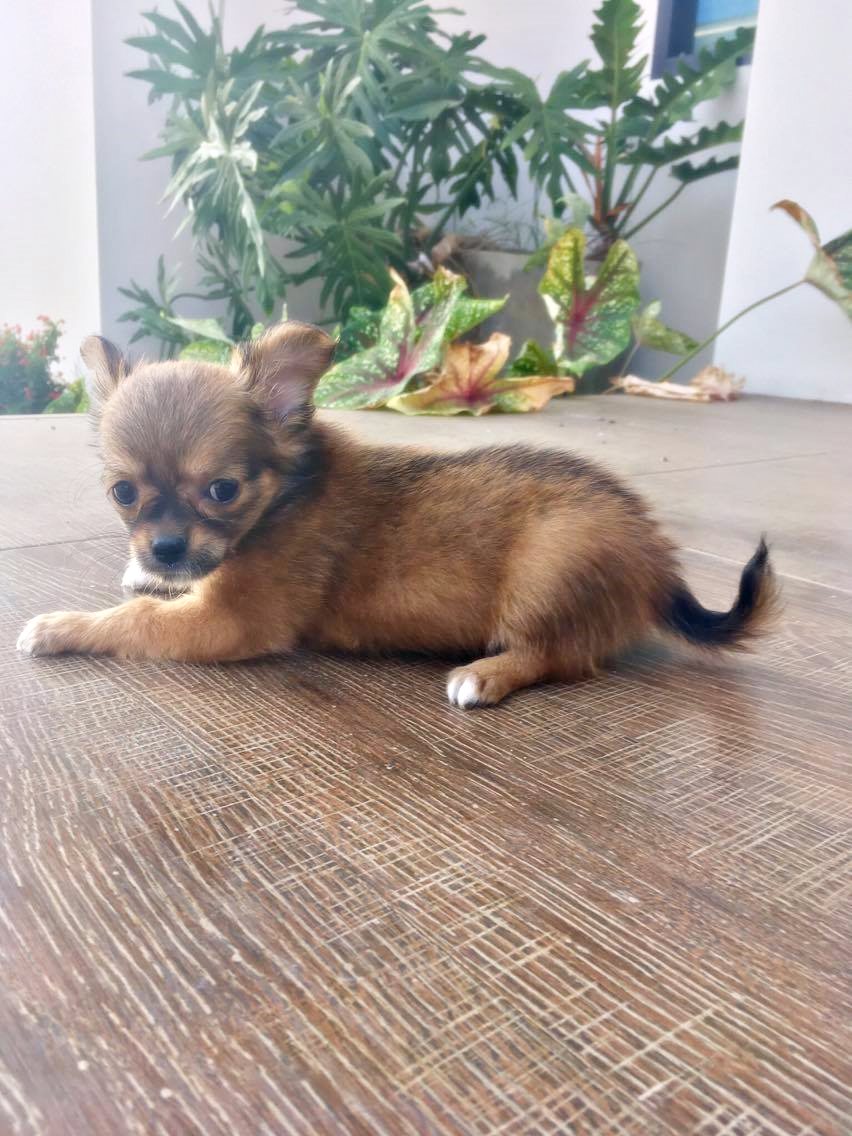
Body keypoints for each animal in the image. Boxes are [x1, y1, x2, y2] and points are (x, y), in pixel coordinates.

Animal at [17, 322, 779, 708]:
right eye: (123, 493)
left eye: (223, 490)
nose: (166, 548)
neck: (283, 495)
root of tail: (655, 557)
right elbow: (158, 590)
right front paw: (142, 571)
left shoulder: (231, 622)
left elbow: (137, 619)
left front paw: (61, 626)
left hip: (548, 571)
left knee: (557, 656)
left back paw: (485, 675)